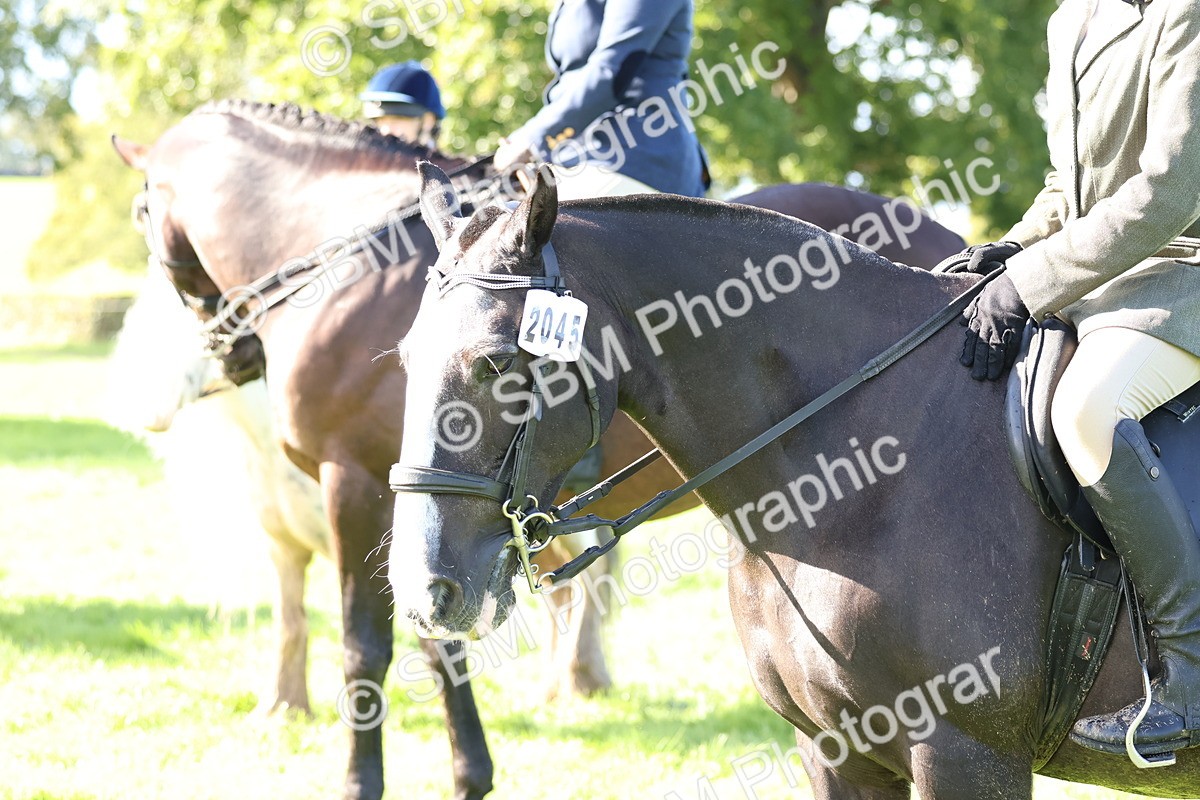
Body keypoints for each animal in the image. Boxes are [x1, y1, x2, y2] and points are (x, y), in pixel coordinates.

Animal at [112, 99, 966, 799]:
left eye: (144, 217)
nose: (232, 355)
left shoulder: (356, 485)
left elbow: (368, 648)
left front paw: (367, 783)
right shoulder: (428, 515)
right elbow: (436, 640)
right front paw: (471, 774)